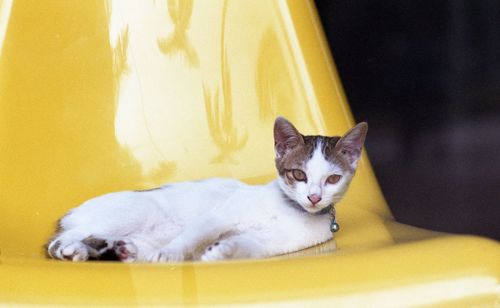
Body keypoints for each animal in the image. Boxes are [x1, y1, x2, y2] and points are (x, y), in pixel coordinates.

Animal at [47, 117, 368, 262]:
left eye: (332, 179)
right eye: (299, 174)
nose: (314, 197)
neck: (290, 211)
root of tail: (68, 214)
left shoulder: (274, 243)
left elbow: (248, 245)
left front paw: (220, 251)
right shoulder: (218, 216)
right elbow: (195, 234)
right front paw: (171, 253)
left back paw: (116, 248)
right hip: (134, 211)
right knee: (61, 240)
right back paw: (74, 248)